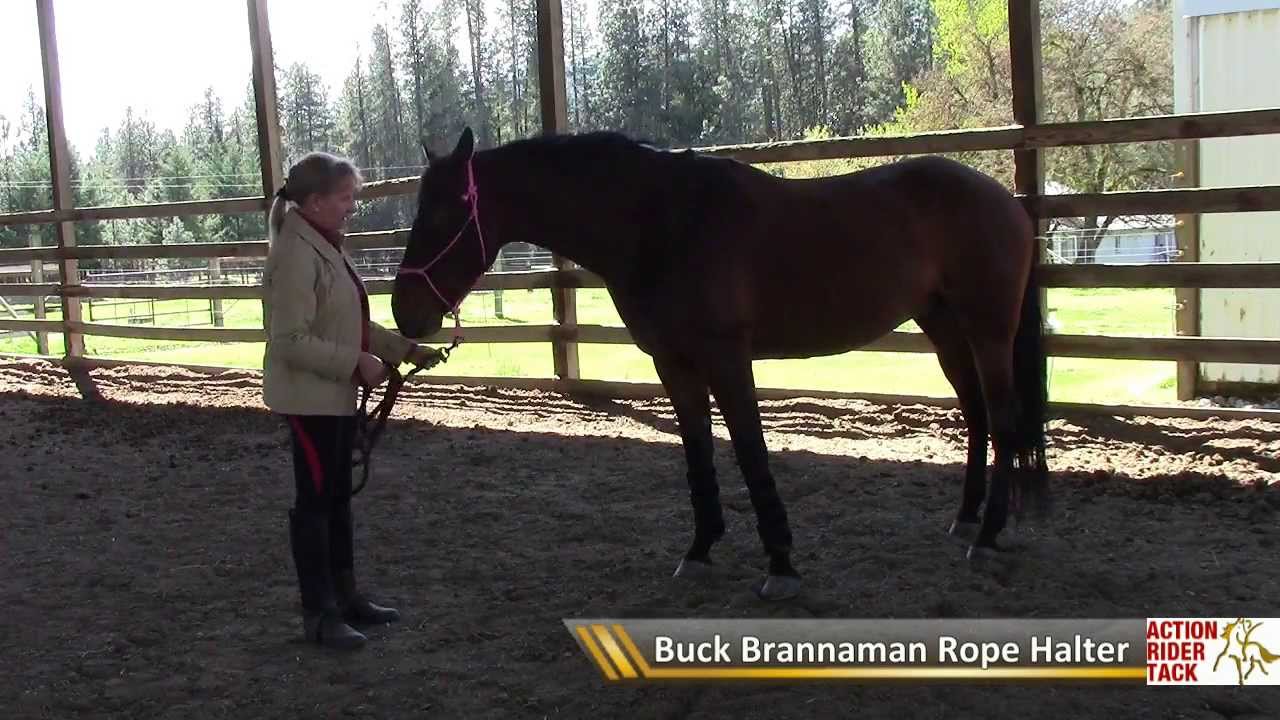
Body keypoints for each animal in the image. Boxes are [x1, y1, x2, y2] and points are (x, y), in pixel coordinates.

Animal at [391, 127, 1050, 600]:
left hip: (988, 332)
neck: (660, 222)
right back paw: (965, 519)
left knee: (1001, 417)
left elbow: (751, 452)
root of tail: (1007, 201)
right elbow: (699, 454)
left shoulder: (727, 358)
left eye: (446, 214)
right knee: (977, 415)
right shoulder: (674, 364)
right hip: (944, 328)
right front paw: (700, 550)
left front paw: (780, 564)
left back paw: (989, 534)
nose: (405, 313)